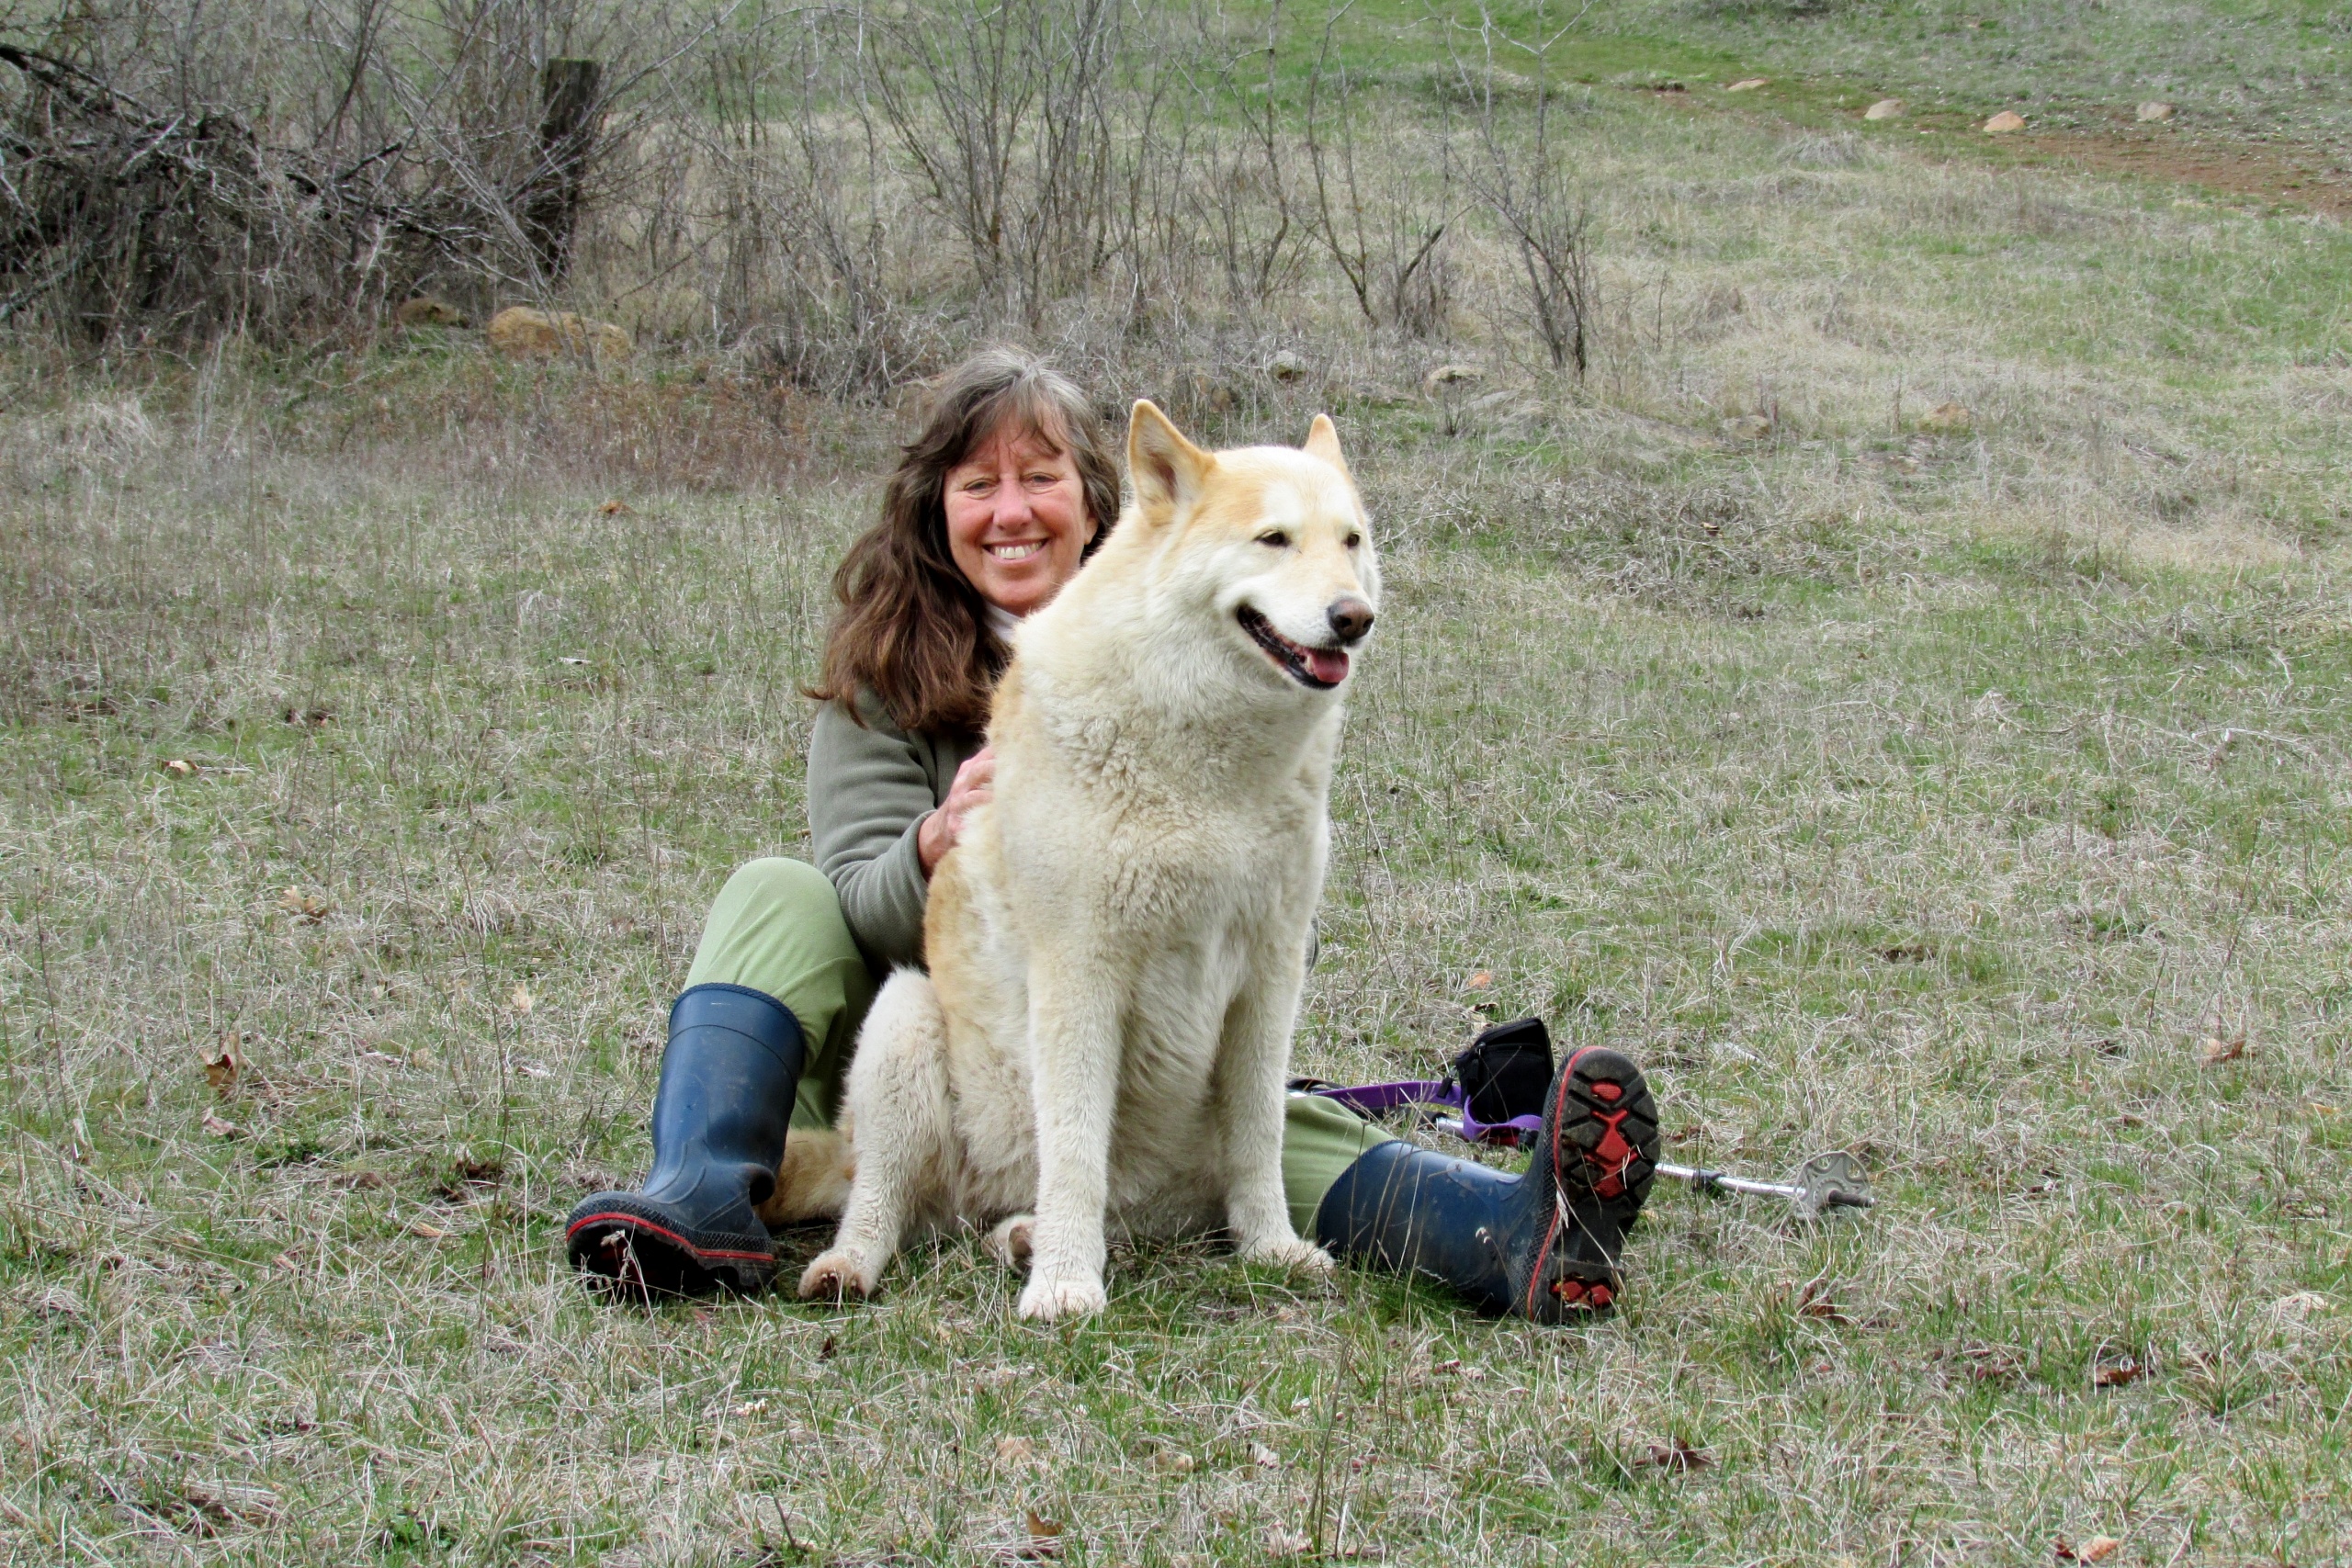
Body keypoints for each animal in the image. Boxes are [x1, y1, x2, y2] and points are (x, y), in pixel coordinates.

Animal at [790, 400, 1374, 1316]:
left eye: (1350, 541)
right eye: (1274, 539)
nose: (1354, 616)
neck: (1205, 770)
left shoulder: (1270, 978)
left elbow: (1259, 1136)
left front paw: (1272, 1249)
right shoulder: (1079, 974)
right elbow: (1072, 1147)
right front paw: (1065, 1286)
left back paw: (1025, 1236)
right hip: (904, 1023)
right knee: (879, 1199)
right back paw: (858, 1265)